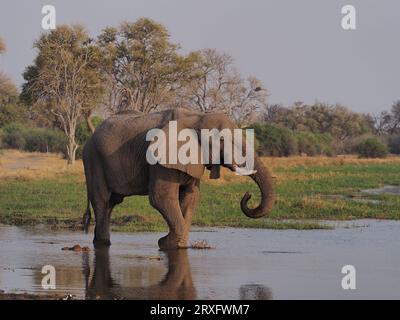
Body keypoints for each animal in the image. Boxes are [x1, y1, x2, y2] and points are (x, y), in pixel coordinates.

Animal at [81, 108, 276, 250]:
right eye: (221, 139)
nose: (248, 195)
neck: (197, 117)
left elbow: (191, 197)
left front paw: (177, 245)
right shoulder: (160, 161)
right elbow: (160, 197)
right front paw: (165, 244)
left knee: (111, 203)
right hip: (93, 159)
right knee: (102, 200)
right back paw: (102, 244)